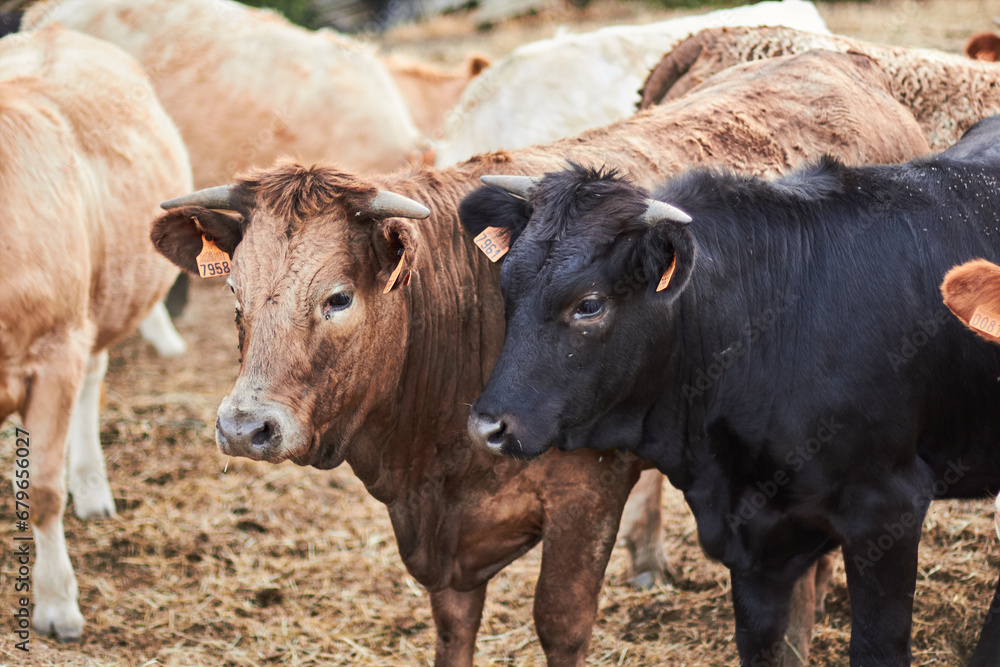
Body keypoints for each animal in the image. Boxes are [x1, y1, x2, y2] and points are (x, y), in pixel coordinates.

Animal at [148, 52, 928, 667]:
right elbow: (453, 629)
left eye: (337, 298)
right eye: (236, 294)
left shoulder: (588, 490)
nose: (245, 427)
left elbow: (560, 620)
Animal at [462, 117, 1000, 664]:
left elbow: (878, 645)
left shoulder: (890, 507)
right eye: (507, 287)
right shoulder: (755, 544)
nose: (487, 427)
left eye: (589, 305)